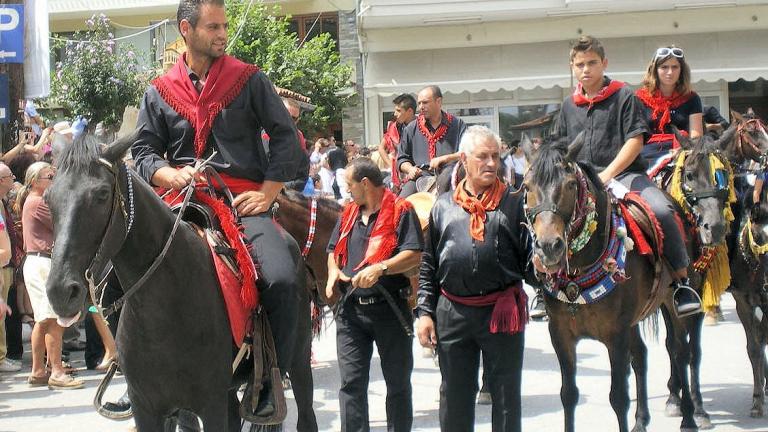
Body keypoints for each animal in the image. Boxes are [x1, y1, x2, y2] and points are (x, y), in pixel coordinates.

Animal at [44, 133, 318, 430]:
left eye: (102, 194)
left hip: (299, 361)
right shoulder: (149, 408)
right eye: (48, 197)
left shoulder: (210, 404)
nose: (61, 292)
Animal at [520, 135, 700, 432]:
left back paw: (689, 417)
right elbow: (568, 395)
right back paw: (641, 420)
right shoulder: (561, 335)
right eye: (526, 186)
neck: (577, 280)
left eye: (571, 185)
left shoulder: (615, 335)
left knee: (680, 351)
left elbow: (618, 397)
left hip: (672, 304)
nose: (548, 247)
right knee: (641, 356)